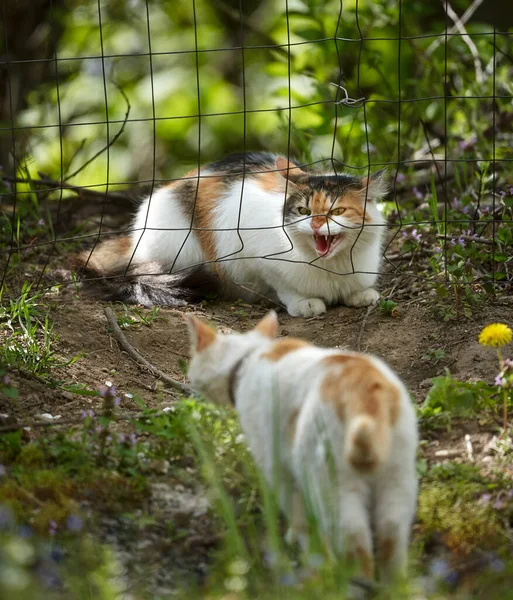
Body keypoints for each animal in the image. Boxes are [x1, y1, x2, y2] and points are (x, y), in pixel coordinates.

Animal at [186, 312, 418, 584]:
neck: (249, 356)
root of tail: (362, 387)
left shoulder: (276, 467)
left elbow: (300, 521)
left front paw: (308, 557)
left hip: (330, 487)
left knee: (357, 549)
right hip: (398, 483)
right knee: (391, 540)